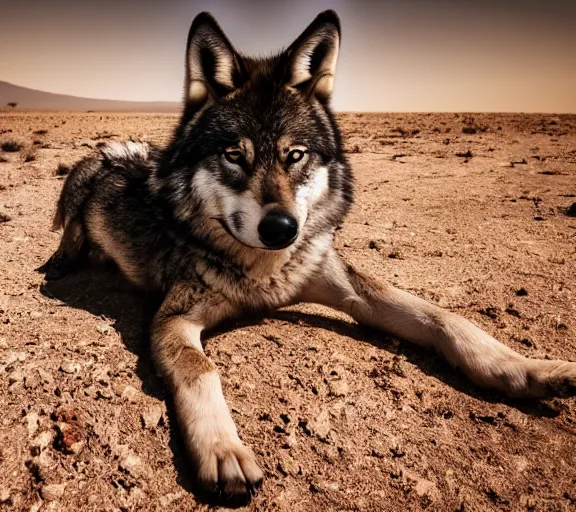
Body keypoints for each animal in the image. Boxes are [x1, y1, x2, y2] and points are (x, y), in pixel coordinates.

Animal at [41, 10, 576, 506]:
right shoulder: (172, 319)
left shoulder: (347, 285)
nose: (281, 228)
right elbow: (201, 370)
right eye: (234, 156)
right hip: (79, 191)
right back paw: (64, 262)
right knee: (68, 237)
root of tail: (115, 151)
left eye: (295, 155)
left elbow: (443, 317)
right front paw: (224, 450)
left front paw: (532, 370)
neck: (264, 273)